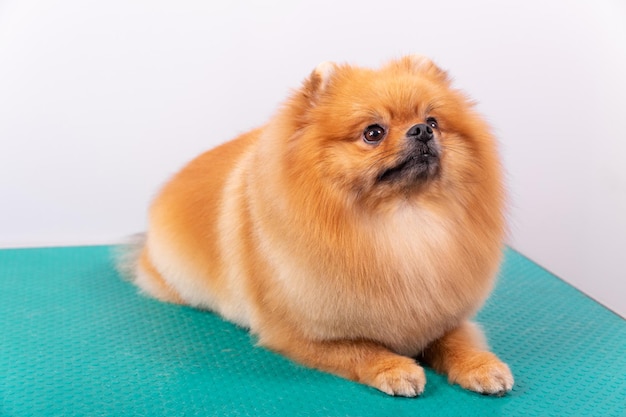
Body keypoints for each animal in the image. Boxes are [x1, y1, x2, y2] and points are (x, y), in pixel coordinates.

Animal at [123, 56, 512, 396]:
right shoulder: (297, 333)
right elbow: (360, 348)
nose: (421, 132)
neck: (404, 223)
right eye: (373, 132)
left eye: (432, 122)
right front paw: (394, 367)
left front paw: (480, 365)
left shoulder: (440, 313)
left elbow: (455, 339)